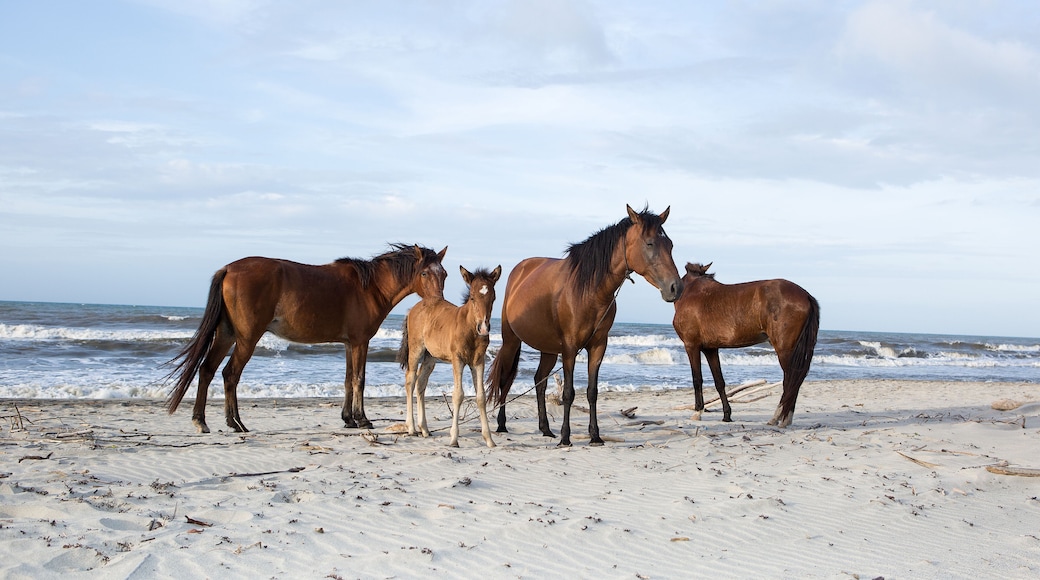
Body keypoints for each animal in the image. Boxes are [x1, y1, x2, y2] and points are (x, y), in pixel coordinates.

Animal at [164, 244, 448, 433]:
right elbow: (359, 379)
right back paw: (236, 422)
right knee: (230, 374)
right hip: (246, 338)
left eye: (443, 274)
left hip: (226, 334)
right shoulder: (360, 342)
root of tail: (228, 269)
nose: (438, 303)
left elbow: (347, 380)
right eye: (424, 273)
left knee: (207, 370)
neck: (370, 287)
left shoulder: (349, 344)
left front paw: (348, 419)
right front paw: (362, 419)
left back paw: (201, 420)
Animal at [397, 265, 502, 448]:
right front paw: (454, 439)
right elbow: (458, 395)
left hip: (430, 356)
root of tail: (412, 310)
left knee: (421, 383)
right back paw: (411, 428)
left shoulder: (478, 361)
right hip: (416, 349)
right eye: (472, 297)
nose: (483, 328)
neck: (469, 328)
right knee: (410, 380)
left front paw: (489, 439)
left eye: (493, 297)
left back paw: (424, 429)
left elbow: (481, 397)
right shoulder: (457, 359)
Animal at [487, 205, 683, 447]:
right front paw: (565, 437)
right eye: (650, 243)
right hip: (511, 341)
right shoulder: (570, 348)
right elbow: (568, 393)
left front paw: (595, 436)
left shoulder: (598, 346)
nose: (676, 288)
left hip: (548, 349)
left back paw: (545, 429)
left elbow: (592, 391)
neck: (589, 291)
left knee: (539, 382)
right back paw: (502, 425)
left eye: (670, 245)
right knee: (505, 380)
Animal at [671, 262, 820, 427]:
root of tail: (806, 295)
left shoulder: (692, 346)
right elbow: (719, 382)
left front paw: (698, 412)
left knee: (789, 382)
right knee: (795, 382)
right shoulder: (711, 349)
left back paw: (778, 418)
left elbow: (697, 379)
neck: (691, 293)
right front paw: (727, 415)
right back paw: (785, 419)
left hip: (785, 350)